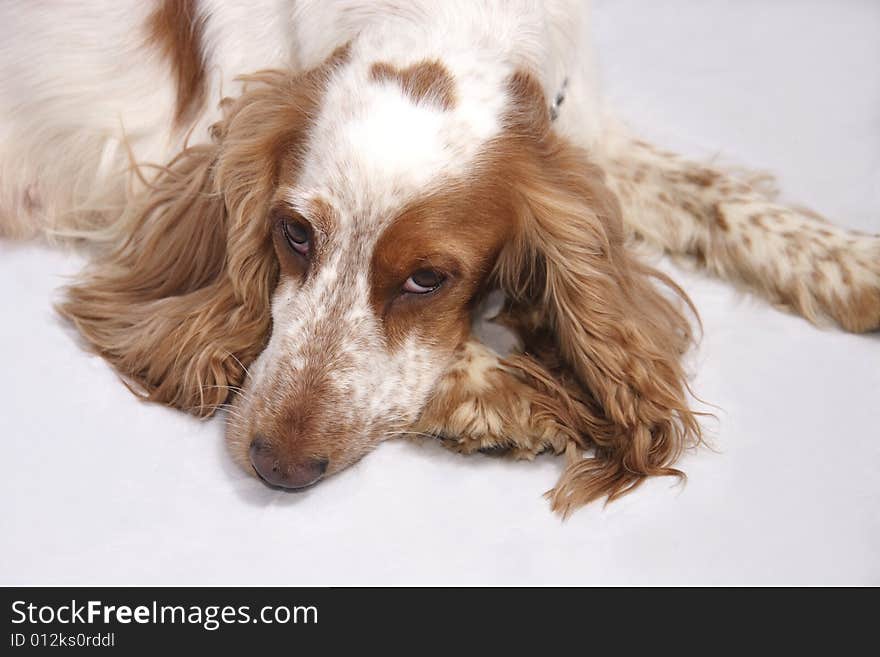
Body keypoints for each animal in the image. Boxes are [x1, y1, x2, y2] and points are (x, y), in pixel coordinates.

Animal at [3, 0, 876, 516]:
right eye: (294, 234)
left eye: (428, 277)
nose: (276, 464)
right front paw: (508, 396)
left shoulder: (584, 137)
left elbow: (710, 193)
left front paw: (849, 262)